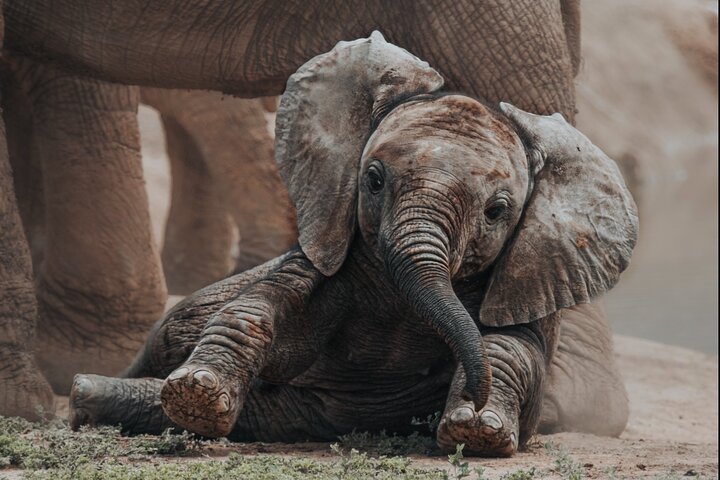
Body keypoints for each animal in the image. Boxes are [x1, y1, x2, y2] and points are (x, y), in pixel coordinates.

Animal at [67, 35, 638, 457]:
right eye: (373, 180)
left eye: (497, 211)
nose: (473, 396)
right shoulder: (329, 237)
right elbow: (266, 306)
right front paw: (197, 393)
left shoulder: (527, 272)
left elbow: (510, 346)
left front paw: (478, 428)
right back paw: (88, 394)